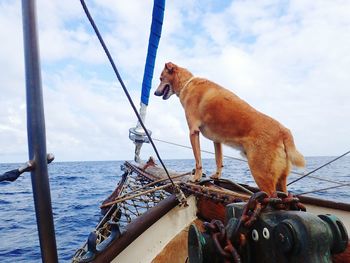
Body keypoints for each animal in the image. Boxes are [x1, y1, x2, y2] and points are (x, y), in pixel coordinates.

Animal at [154, 61, 304, 194]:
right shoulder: (217, 140)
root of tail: (284, 131)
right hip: (280, 179)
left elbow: (198, 161)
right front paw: (216, 175)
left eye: (161, 78)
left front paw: (196, 177)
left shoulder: (193, 132)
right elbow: (218, 160)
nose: (155, 93)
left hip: (261, 173)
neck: (187, 83)